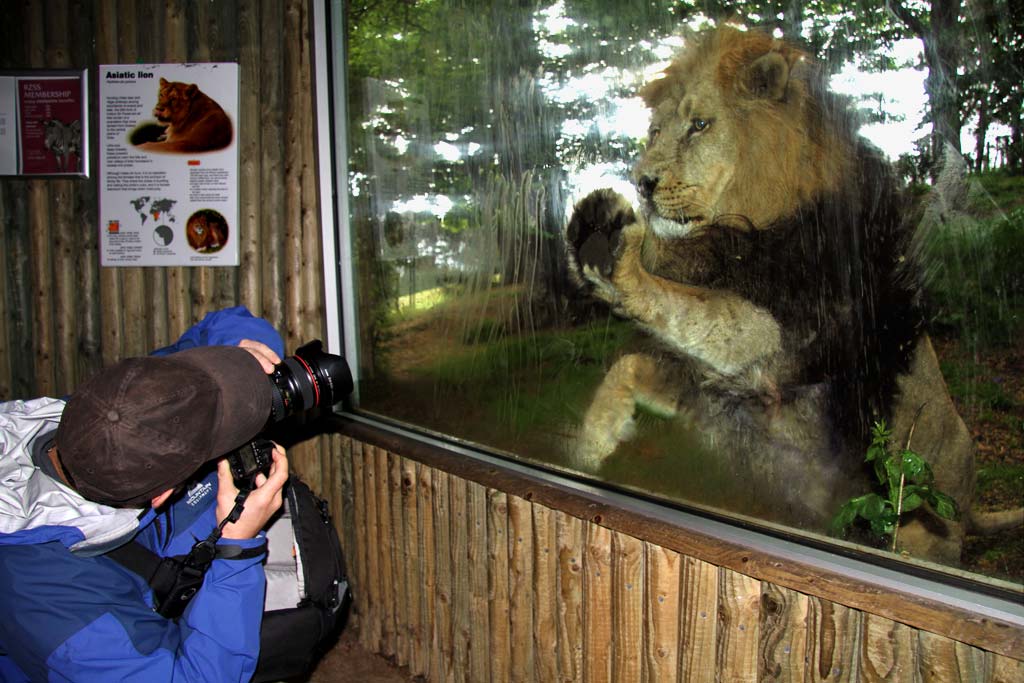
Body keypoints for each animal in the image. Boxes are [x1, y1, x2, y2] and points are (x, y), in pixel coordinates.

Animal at [565, 25, 978, 561]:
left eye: (699, 125)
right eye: (655, 132)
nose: (642, 182)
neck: (738, 225)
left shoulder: (784, 351)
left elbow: (691, 307)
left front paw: (617, 255)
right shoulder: (722, 395)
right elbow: (635, 361)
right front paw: (590, 446)